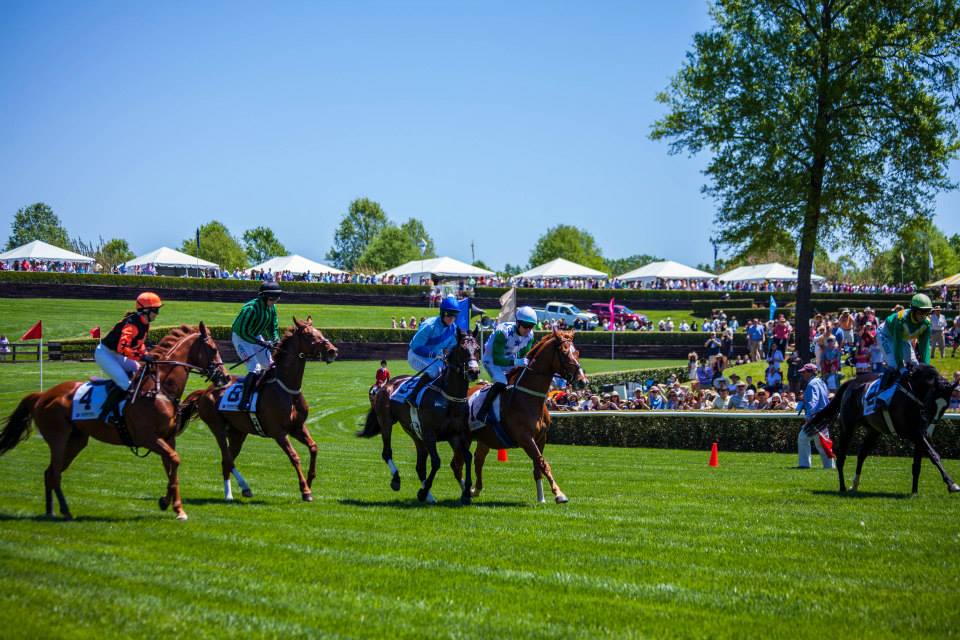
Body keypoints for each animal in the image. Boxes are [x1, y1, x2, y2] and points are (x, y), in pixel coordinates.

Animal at [0, 324, 227, 520]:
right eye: (213, 348)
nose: (224, 377)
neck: (159, 388)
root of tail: (42, 395)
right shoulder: (148, 438)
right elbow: (175, 461)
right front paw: (168, 503)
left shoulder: (167, 439)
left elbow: (173, 468)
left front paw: (175, 507)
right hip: (58, 438)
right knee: (54, 473)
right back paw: (64, 511)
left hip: (76, 440)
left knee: (50, 473)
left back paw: (51, 511)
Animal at [182, 318, 340, 502]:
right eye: (308, 335)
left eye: (320, 332)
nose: (332, 351)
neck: (287, 389)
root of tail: (205, 392)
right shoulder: (278, 432)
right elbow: (294, 457)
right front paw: (305, 490)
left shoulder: (297, 427)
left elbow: (314, 447)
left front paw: (309, 481)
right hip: (217, 427)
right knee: (227, 458)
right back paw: (230, 494)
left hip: (238, 432)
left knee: (227, 460)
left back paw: (240, 490)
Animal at [358, 330, 484, 504]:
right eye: (462, 349)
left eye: (477, 348)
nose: (473, 372)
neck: (448, 398)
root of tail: (386, 386)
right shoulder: (430, 434)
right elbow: (437, 462)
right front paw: (423, 492)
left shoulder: (456, 434)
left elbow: (467, 457)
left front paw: (466, 492)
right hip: (386, 422)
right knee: (387, 452)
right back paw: (397, 480)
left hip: (415, 433)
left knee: (420, 466)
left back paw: (429, 496)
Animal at [454, 330, 588, 504]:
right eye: (564, 353)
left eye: (577, 352)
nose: (582, 381)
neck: (528, 398)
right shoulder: (525, 438)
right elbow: (543, 463)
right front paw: (559, 494)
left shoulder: (541, 438)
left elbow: (538, 466)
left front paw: (541, 498)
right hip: (462, 438)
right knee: (457, 464)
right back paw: (466, 492)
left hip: (485, 439)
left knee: (478, 459)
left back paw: (474, 490)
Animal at [808, 364, 956, 496]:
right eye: (932, 403)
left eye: (945, 407)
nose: (930, 430)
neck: (913, 395)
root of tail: (851, 382)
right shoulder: (911, 433)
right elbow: (933, 455)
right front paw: (952, 484)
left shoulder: (919, 435)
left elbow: (918, 464)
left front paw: (914, 491)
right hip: (847, 427)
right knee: (841, 457)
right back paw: (842, 487)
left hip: (874, 430)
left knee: (862, 454)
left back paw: (854, 484)